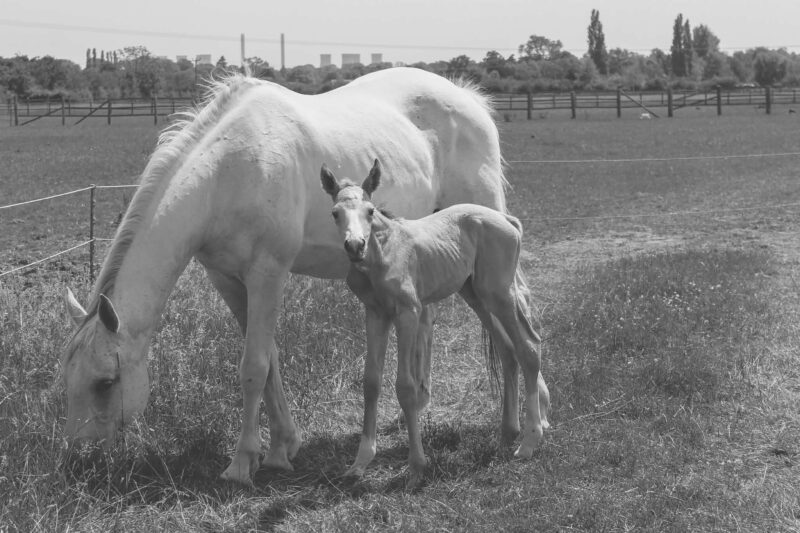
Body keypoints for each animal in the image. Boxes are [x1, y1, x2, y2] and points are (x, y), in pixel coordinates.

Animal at [320, 159, 549, 487]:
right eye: (335, 213)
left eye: (370, 211)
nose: (354, 246)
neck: (382, 253)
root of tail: (507, 220)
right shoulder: (375, 314)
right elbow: (371, 382)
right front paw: (360, 463)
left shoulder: (408, 312)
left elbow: (405, 386)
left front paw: (417, 465)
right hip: (475, 294)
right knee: (508, 352)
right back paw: (507, 434)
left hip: (499, 294)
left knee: (528, 346)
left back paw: (529, 442)